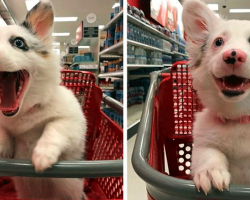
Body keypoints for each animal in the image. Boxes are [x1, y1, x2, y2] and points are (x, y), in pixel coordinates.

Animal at [0, 0, 87, 199]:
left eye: (18, 42)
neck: (24, 111)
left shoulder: (74, 125)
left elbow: (54, 127)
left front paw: (42, 155)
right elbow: (3, 131)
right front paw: (3, 145)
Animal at [183, 0, 250, 195]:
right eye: (218, 42)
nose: (233, 55)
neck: (238, 118)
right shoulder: (202, 143)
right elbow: (209, 153)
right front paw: (210, 172)